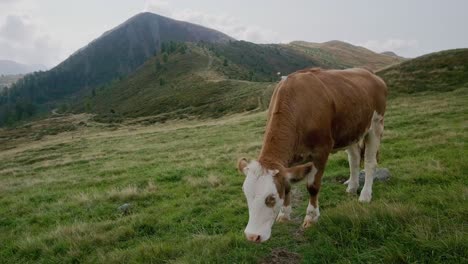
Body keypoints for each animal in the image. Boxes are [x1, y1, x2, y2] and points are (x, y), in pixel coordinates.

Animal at [238, 67, 388, 242]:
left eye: (271, 198)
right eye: (246, 195)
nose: (251, 236)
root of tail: (371, 74)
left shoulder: (321, 151)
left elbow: (313, 187)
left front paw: (311, 217)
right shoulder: (289, 161)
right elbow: (288, 186)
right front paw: (284, 214)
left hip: (376, 125)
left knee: (370, 163)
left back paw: (365, 195)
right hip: (350, 131)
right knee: (354, 159)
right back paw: (352, 187)